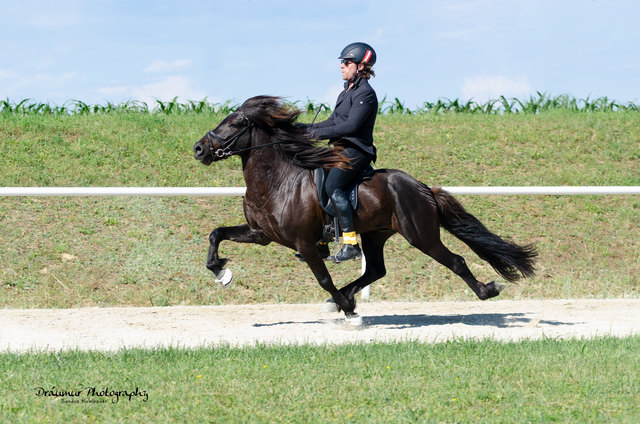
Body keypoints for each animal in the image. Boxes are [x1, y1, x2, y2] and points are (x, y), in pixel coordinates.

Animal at [192, 96, 536, 322]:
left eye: (236, 123)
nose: (198, 149)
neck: (277, 181)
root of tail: (422, 187)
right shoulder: (260, 233)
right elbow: (216, 233)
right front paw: (220, 271)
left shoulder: (304, 243)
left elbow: (323, 278)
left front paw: (349, 312)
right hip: (375, 234)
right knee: (375, 269)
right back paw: (344, 297)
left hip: (421, 235)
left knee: (456, 260)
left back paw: (487, 290)